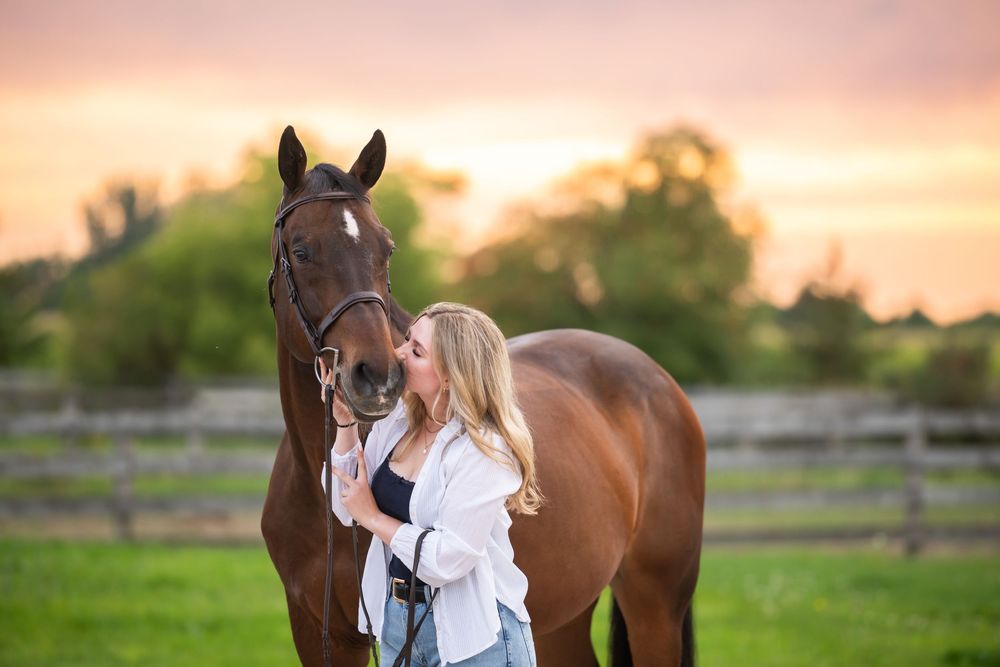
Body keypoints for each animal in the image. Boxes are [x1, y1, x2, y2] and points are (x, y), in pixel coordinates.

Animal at [261, 126, 705, 667]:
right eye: (302, 251)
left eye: (386, 249)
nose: (378, 377)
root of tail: (659, 381)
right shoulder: (319, 631)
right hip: (563, 614)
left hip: (654, 605)